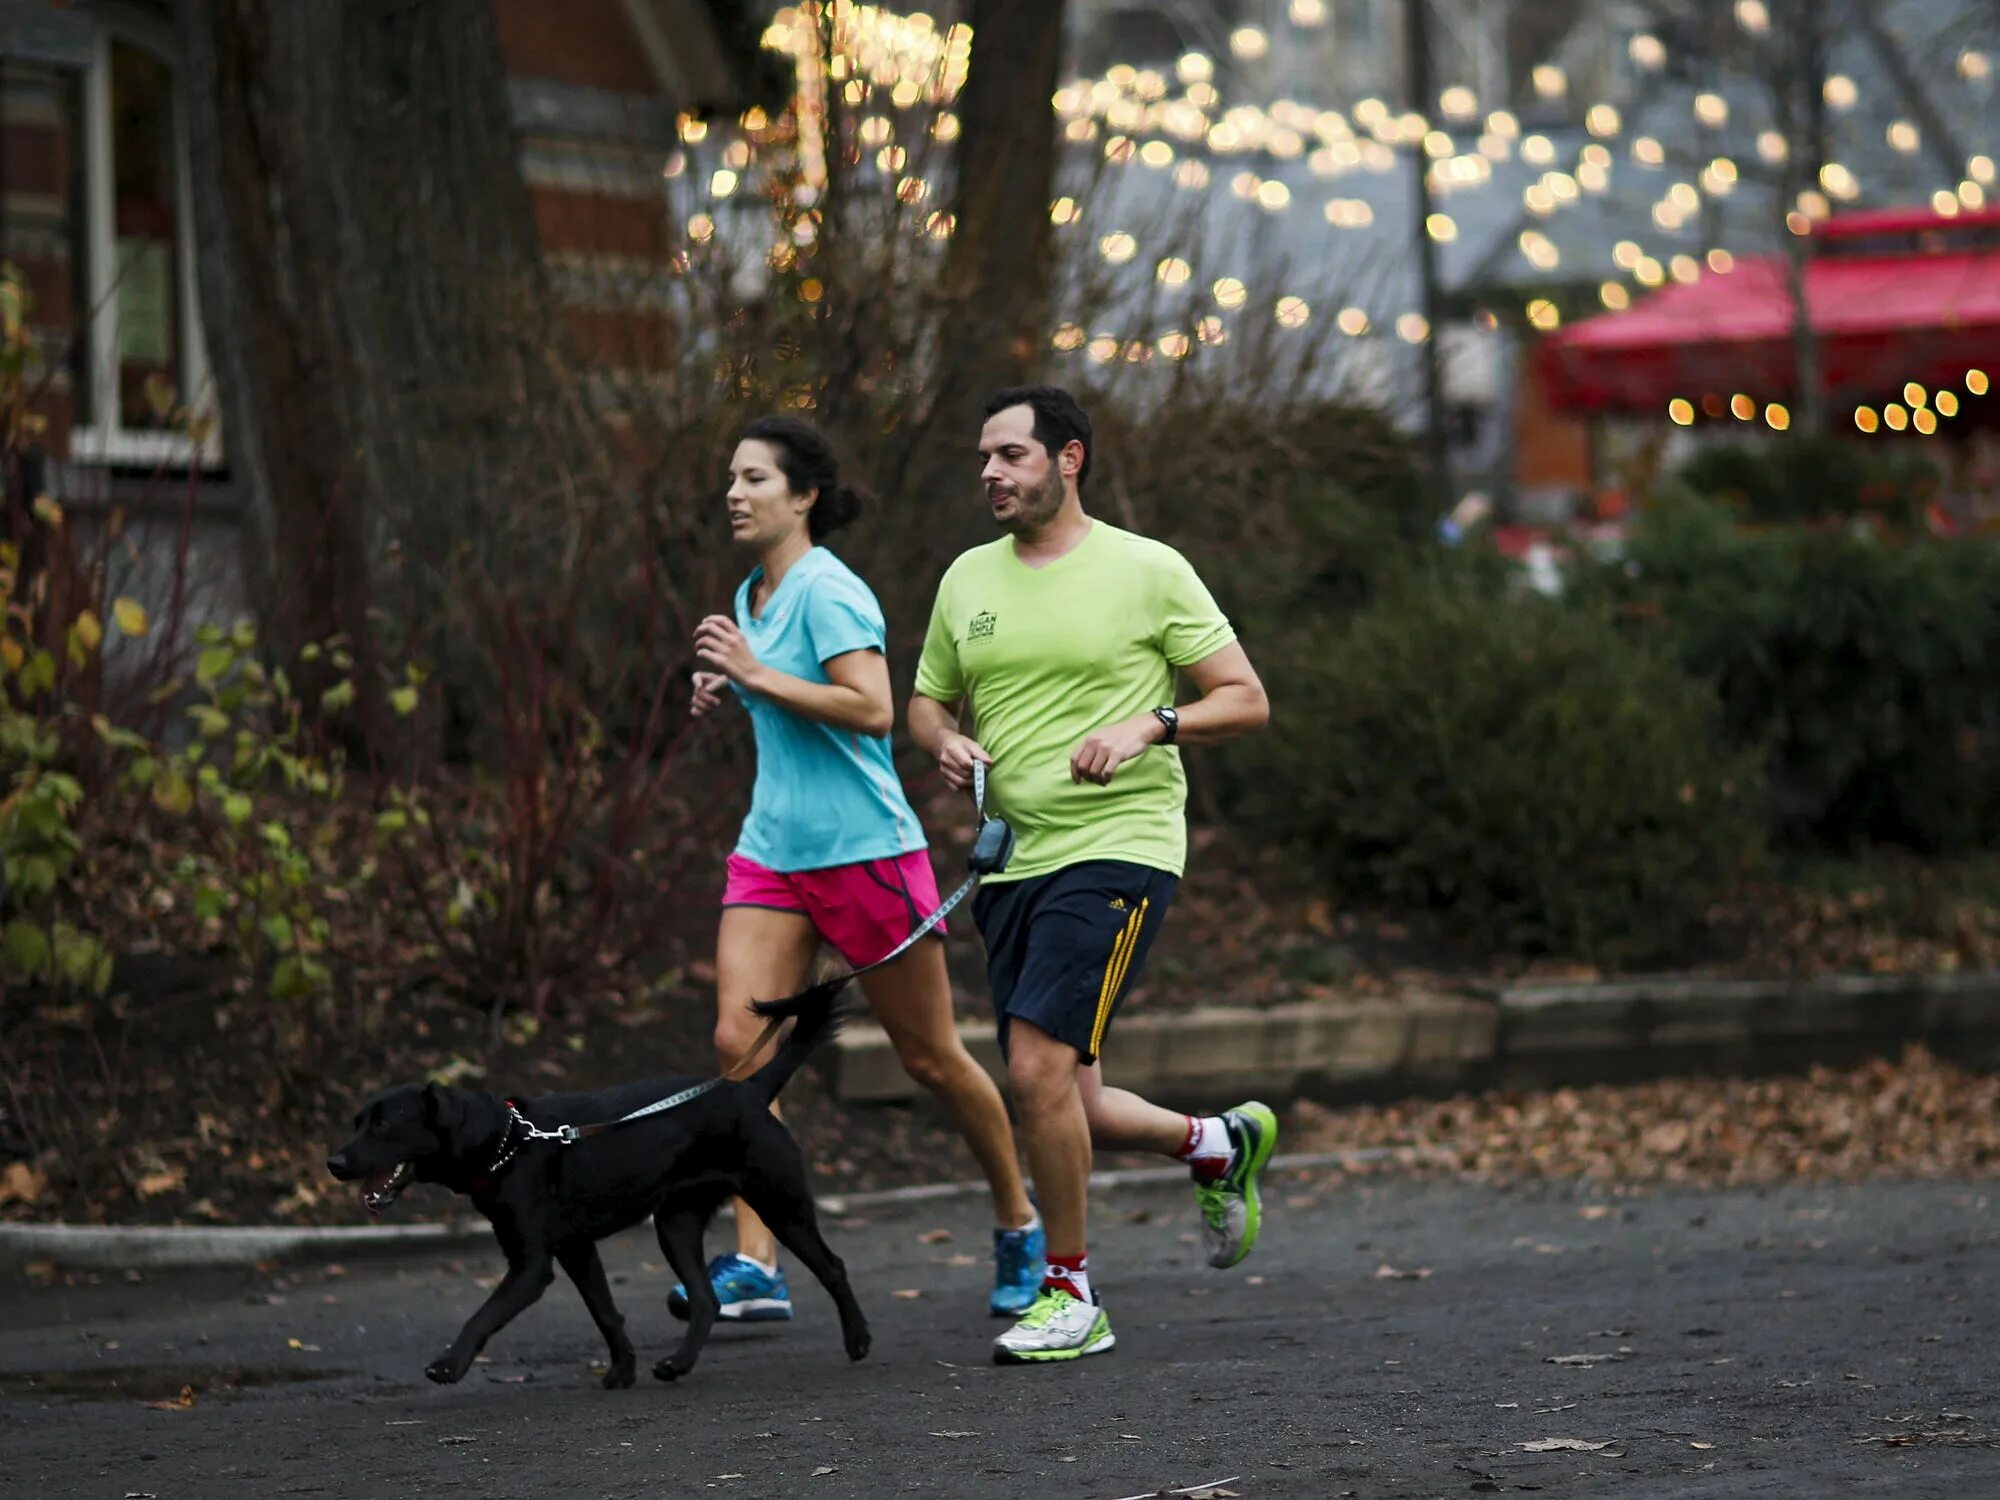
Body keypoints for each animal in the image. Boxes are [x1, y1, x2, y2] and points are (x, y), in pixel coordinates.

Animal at [324, 980, 864, 1392]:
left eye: (385, 1124)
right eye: (356, 1122)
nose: (333, 1162)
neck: (508, 1142)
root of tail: (751, 1089)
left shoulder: (531, 1266)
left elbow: (482, 1315)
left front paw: (449, 1365)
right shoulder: (576, 1249)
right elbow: (606, 1313)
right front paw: (623, 1371)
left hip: (780, 1204)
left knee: (834, 1267)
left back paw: (858, 1340)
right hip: (675, 1223)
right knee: (706, 1300)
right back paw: (677, 1364)